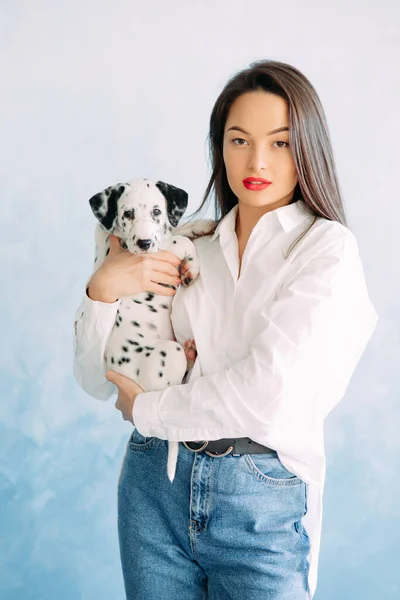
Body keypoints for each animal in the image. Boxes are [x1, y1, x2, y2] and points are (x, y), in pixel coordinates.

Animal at [88, 177, 216, 482]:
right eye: (127, 213)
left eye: (157, 211)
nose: (144, 243)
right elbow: (176, 240)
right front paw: (191, 266)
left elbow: (175, 231)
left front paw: (199, 225)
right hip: (168, 353)